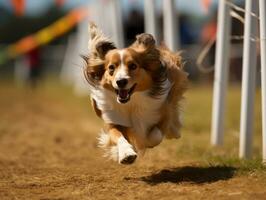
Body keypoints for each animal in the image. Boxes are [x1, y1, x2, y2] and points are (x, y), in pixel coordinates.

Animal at [84, 23, 188, 164]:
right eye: (111, 68)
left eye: (133, 66)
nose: (121, 81)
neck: (132, 102)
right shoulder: (114, 121)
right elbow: (118, 136)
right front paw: (126, 153)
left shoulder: (162, 111)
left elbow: (155, 135)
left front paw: (145, 142)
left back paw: (174, 132)